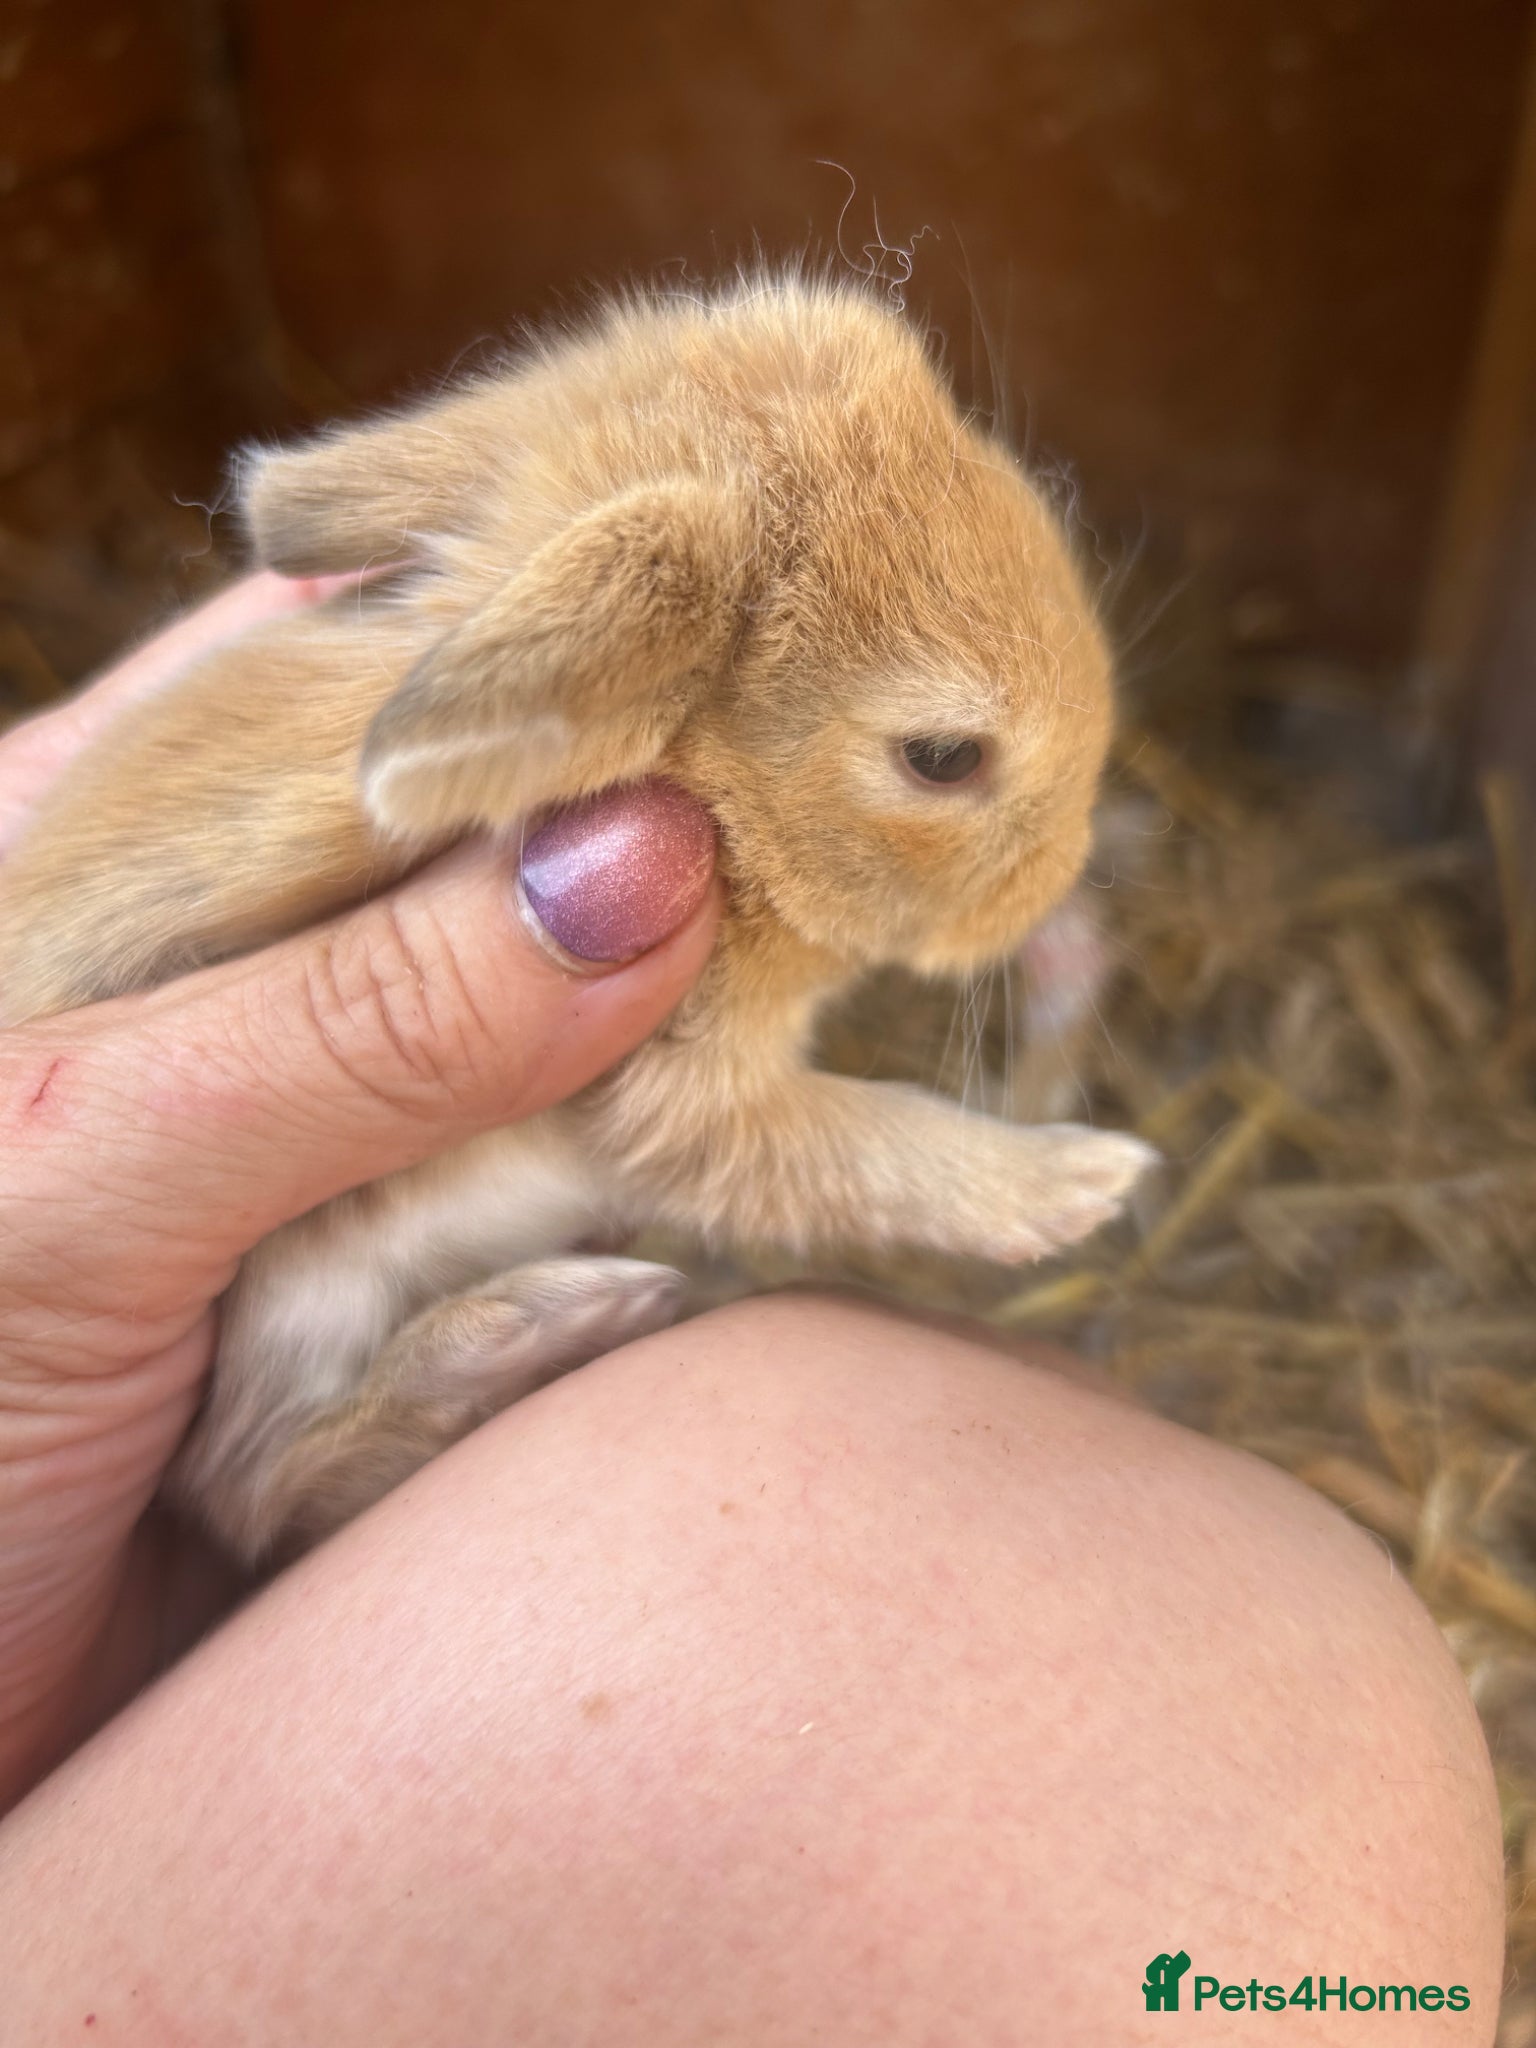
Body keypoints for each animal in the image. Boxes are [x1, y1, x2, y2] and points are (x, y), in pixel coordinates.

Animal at [0, 274, 1155, 1562]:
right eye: (944, 757)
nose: (1059, 869)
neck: (712, 789)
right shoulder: (678, 1102)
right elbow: (855, 1145)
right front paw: (1080, 1180)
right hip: (291, 1292)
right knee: (257, 1479)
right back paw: (543, 1326)